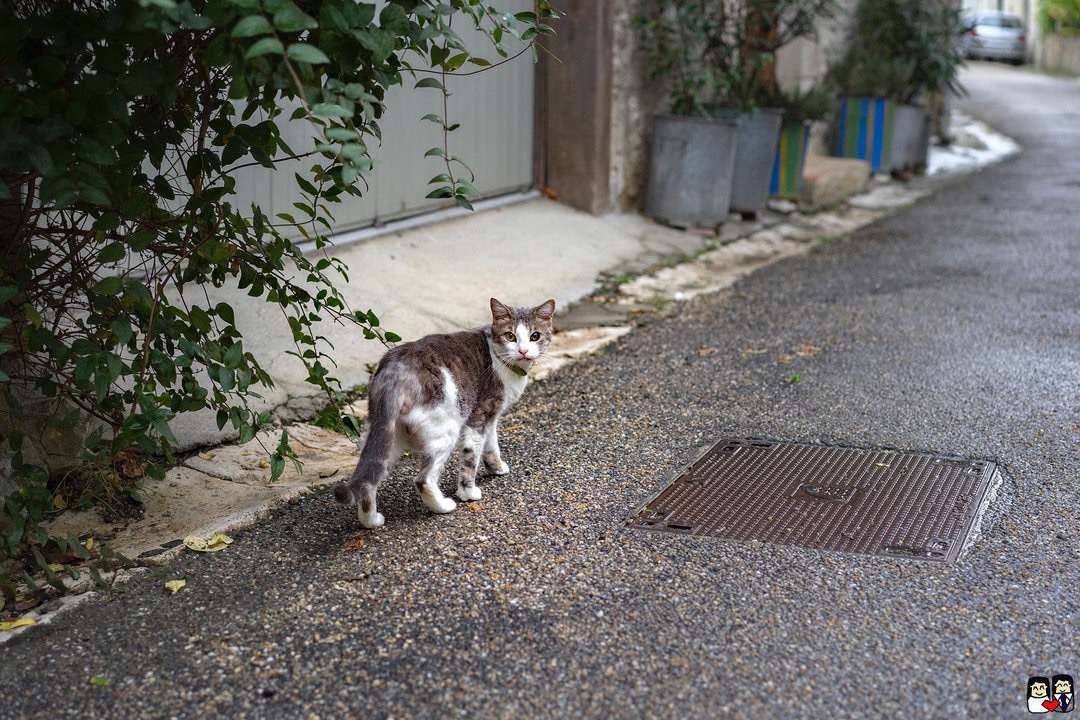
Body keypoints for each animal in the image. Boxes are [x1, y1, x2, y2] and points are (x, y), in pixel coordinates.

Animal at [332, 295, 557, 526]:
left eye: (535, 336)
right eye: (510, 336)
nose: (523, 350)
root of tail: (393, 373)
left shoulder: (492, 416)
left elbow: (491, 444)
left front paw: (496, 467)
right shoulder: (480, 415)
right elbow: (471, 457)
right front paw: (468, 492)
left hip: (389, 437)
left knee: (369, 480)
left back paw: (372, 521)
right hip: (446, 428)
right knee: (423, 479)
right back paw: (443, 506)